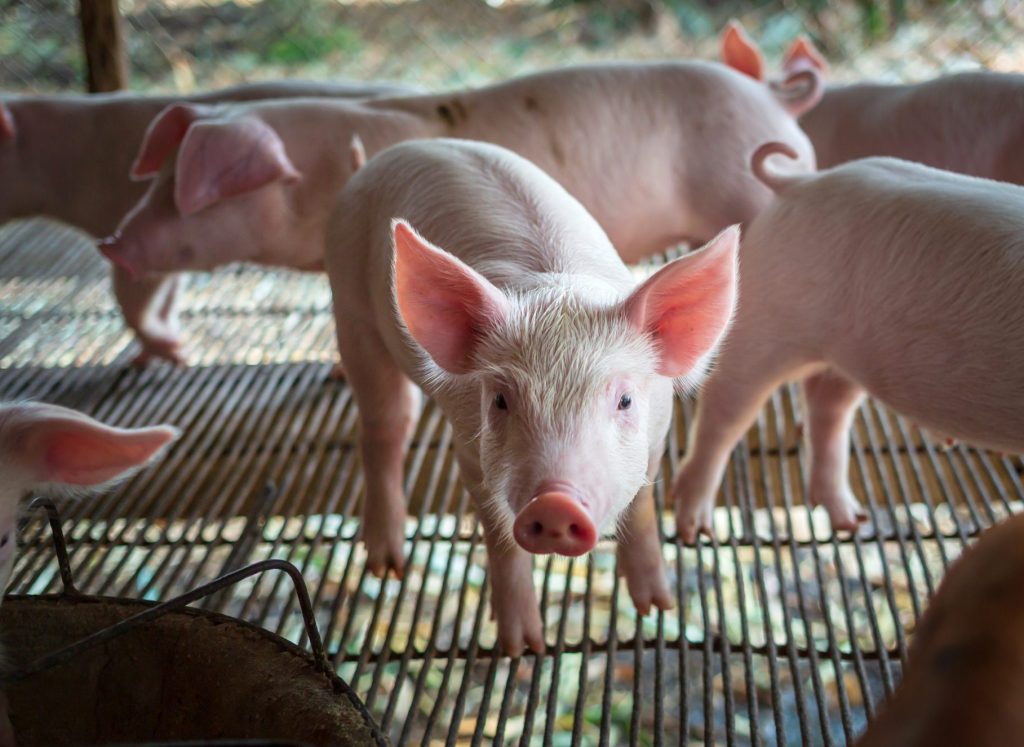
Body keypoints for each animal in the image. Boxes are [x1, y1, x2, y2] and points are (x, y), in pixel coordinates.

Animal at [323, 139, 741, 651]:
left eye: (624, 401)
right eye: (501, 400)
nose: (555, 502)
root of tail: (375, 161)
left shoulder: (657, 437)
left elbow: (642, 507)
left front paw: (656, 606)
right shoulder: (471, 450)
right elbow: (501, 539)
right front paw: (523, 647)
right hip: (350, 305)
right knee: (384, 426)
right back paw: (387, 566)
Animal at [679, 144, 1024, 541]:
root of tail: (799, 183)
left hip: (853, 358)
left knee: (827, 407)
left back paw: (851, 521)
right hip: (765, 311)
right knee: (725, 407)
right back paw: (693, 528)